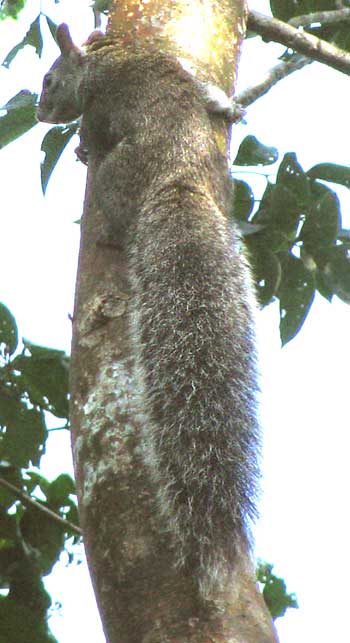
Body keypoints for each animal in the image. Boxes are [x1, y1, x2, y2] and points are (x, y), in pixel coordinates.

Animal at [38, 23, 262, 600]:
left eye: (48, 81)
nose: (42, 113)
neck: (100, 58)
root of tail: (178, 178)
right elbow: (206, 93)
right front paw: (227, 107)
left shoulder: (97, 103)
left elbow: (92, 130)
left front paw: (77, 146)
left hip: (117, 178)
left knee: (114, 205)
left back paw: (108, 232)